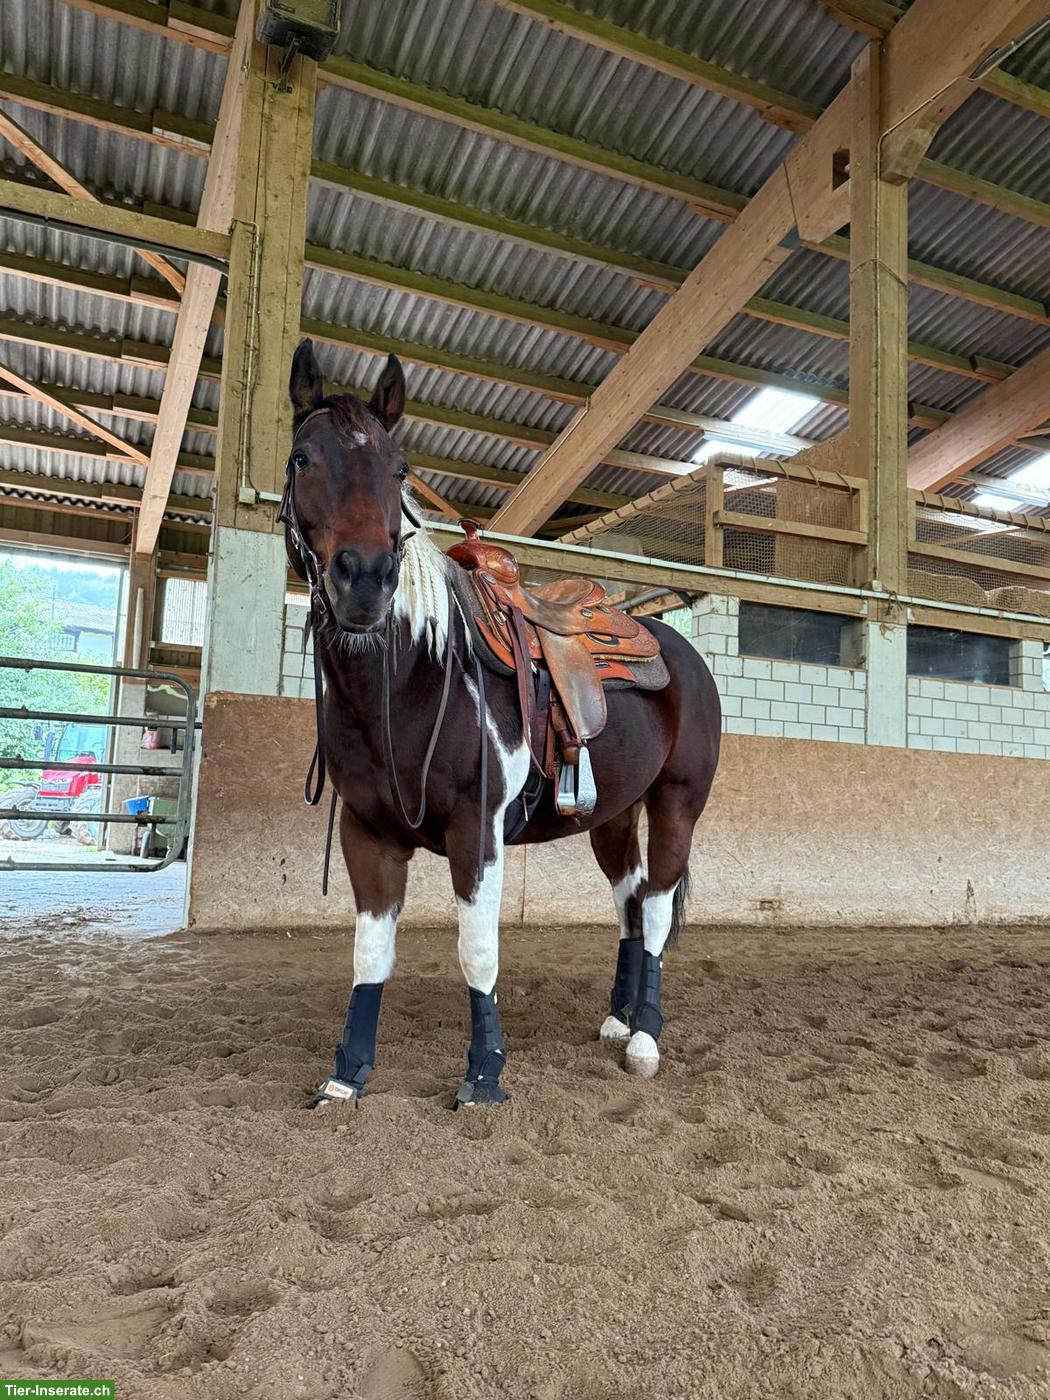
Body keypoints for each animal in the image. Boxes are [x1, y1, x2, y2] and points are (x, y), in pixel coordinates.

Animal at [282, 339, 721, 1107]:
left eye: (398, 470)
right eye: (303, 458)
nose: (364, 579)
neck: (413, 677)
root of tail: (680, 650)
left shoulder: (475, 829)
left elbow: (477, 950)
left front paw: (484, 1073)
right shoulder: (367, 834)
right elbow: (370, 955)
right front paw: (346, 1075)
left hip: (676, 804)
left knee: (660, 907)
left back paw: (645, 1036)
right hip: (611, 815)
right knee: (632, 901)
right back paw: (619, 1015)